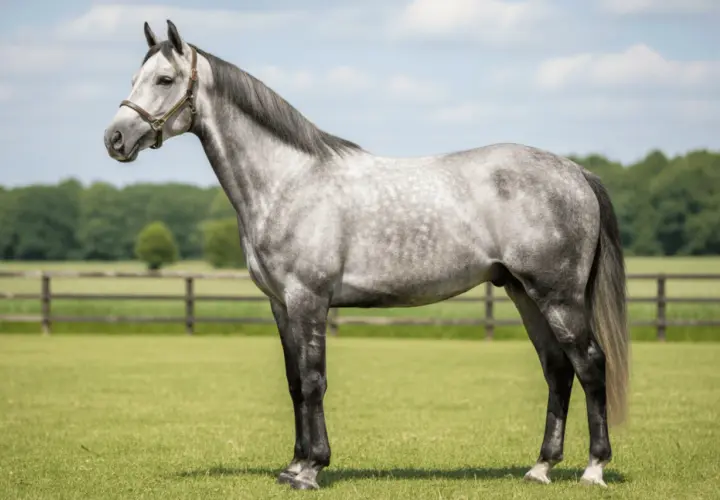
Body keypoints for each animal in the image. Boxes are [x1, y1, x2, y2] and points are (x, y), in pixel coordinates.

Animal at [103, 20, 630, 491]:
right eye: (132, 79)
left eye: (164, 80)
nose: (114, 139)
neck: (288, 180)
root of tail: (574, 171)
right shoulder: (281, 304)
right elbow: (294, 382)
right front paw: (293, 465)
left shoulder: (309, 299)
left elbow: (314, 380)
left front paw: (312, 469)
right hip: (524, 293)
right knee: (557, 370)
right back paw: (541, 468)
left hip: (558, 297)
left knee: (590, 365)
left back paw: (593, 469)